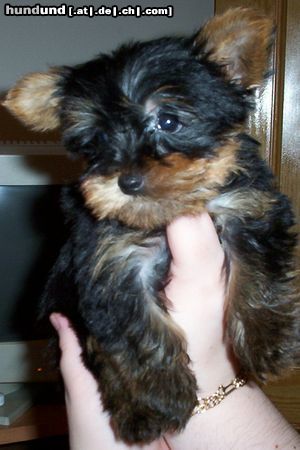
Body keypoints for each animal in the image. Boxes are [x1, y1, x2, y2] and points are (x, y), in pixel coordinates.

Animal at [3, 8, 298, 444]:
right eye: (98, 139)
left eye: (169, 121)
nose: (127, 182)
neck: (164, 219)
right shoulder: (110, 263)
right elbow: (139, 331)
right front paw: (165, 393)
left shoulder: (251, 210)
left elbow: (259, 276)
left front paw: (269, 343)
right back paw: (138, 415)